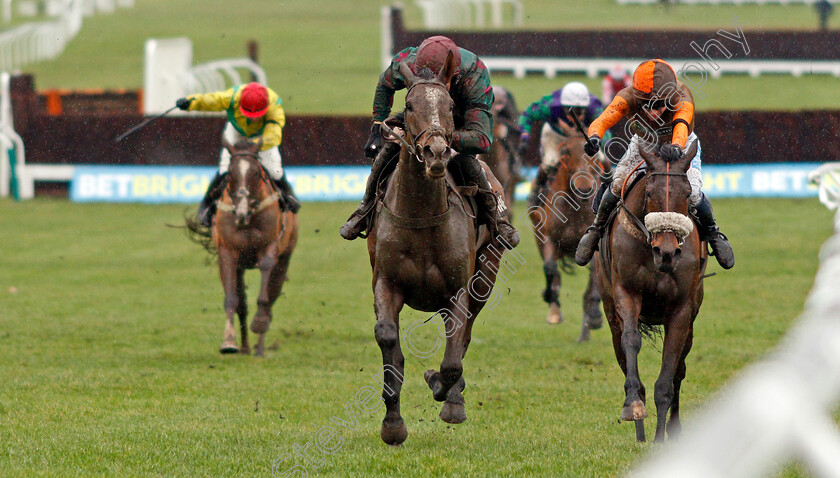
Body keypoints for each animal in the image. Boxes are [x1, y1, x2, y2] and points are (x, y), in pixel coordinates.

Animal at [187, 137, 298, 354]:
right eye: (230, 173)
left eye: (255, 172)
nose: (241, 212)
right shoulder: (227, 254)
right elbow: (233, 300)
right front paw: (228, 342)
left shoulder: (270, 247)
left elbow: (264, 294)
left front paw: (260, 322)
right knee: (243, 304)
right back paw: (246, 348)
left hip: (284, 259)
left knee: (271, 297)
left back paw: (260, 348)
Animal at [366, 55, 506, 444]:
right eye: (410, 104)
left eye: (450, 106)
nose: (437, 152)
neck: (421, 215)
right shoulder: (386, 283)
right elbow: (388, 340)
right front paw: (393, 424)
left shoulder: (458, 289)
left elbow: (452, 359)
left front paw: (442, 388)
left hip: (485, 274)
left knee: (464, 334)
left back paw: (452, 398)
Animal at [524, 120, 604, 344]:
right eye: (566, 151)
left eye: (595, 153)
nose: (584, 188)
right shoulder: (548, 237)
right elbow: (550, 268)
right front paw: (549, 297)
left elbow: (593, 284)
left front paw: (594, 316)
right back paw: (554, 312)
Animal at [596, 140, 708, 442]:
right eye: (648, 192)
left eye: (688, 193)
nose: (666, 252)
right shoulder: (625, 293)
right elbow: (631, 341)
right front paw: (633, 406)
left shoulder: (682, 309)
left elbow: (670, 372)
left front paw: (662, 437)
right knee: (622, 351)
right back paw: (640, 432)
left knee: (680, 368)